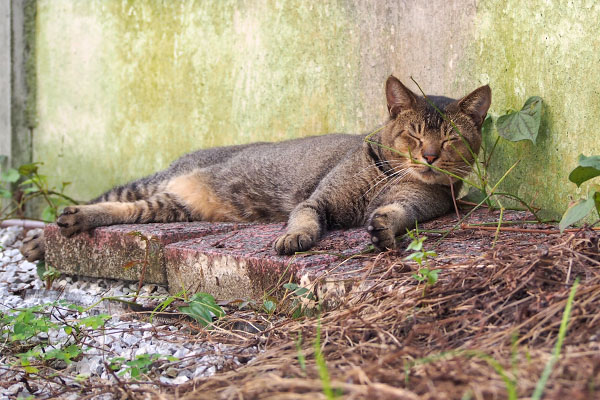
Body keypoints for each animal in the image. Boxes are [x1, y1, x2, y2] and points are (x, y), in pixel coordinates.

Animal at [22, 76, 492, 262]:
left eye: (449, 140)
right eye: (413, 135)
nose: (429, 156)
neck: (384, 176)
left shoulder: (420, 204)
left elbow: (396, 213)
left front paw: (383, 228)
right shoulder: (317, 199)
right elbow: (304, 217)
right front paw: (295, 237)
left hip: (170, 206)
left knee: (121, 211)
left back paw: (67, 226)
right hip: (152, 184)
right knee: (105, 199)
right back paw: (46, 235)